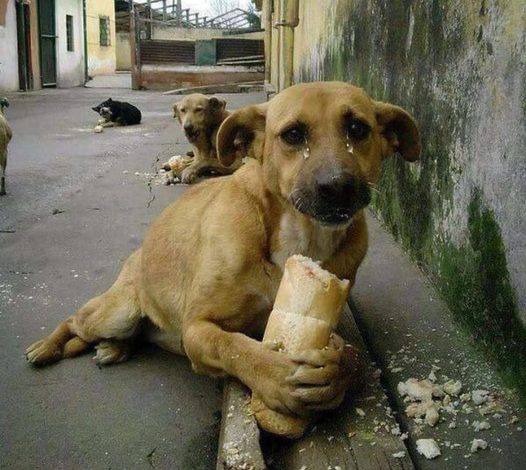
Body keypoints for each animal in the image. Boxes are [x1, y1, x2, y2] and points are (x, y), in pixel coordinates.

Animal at [24, 81, 422, 418]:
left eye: (358, 128)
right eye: (293, 134)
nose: (338, 186)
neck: (298, 236)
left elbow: (349, 356)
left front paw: (337, 375)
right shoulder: (197, 328)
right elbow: (232, 346)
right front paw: (275, 376)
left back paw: (115, 348)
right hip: (116, 311)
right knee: (74, 320)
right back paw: (46, 348)